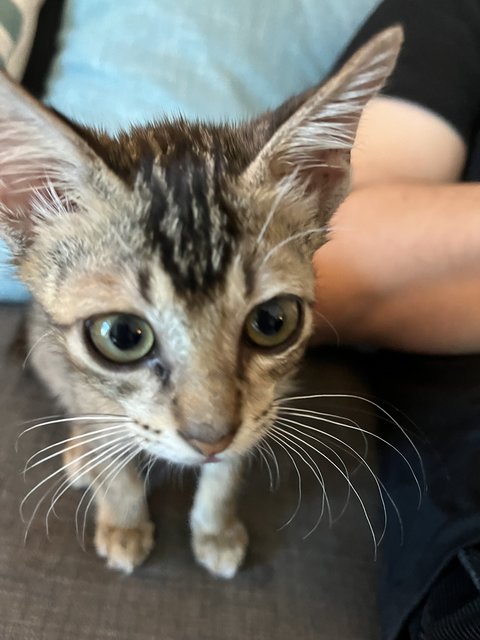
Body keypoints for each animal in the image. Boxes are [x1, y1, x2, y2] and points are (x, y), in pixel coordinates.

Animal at [0, 27, 402, 576]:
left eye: (272, 321)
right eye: (121, 336)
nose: (210, 438)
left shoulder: (262, 405)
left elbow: (230, 470)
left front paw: (215, 529)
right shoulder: (85, 378)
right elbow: (112, 454)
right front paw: (124, 522)